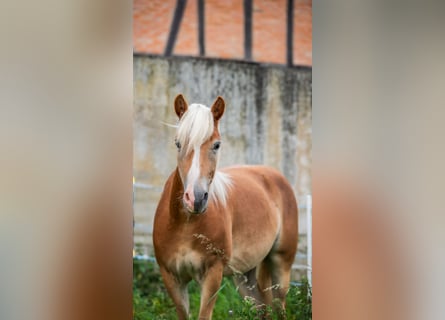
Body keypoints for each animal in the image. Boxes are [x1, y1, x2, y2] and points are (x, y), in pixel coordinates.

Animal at [153, 94, 298, 318]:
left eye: (217, 145)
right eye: (178, 144)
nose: (195, 198)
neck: (185, 225)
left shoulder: (213, 274)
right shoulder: (171, 277)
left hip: (281, 266)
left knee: (279, 307)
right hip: (245, 275)